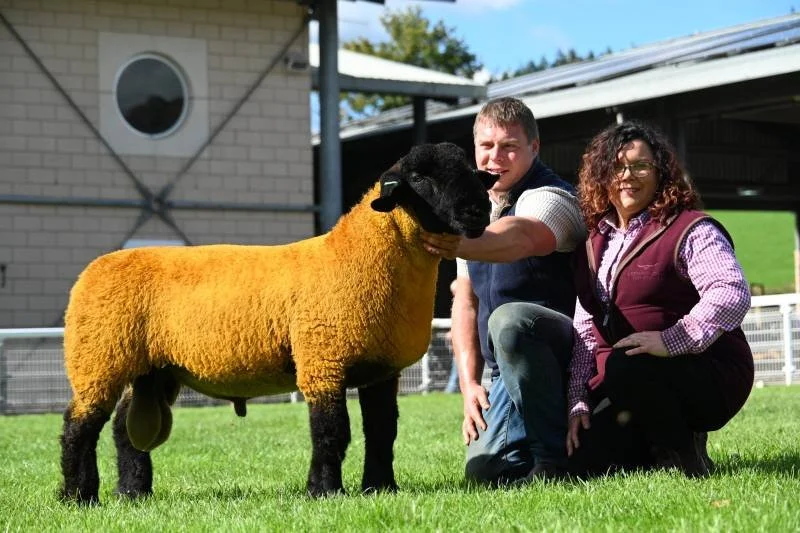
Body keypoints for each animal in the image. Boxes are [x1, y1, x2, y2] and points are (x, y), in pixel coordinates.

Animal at [59, 142, 496, 505]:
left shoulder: (381, 370)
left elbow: (382, 431)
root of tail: (94, 269)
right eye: (420, 178)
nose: (479, 211)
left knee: (124, 432)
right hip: (98, 358)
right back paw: (77, 497)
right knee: (78, 427)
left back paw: (132, 493)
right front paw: (325, 491)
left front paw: (381, 488)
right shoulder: (322, 361)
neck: (359, 256)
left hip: (151, 369)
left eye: (472, 171)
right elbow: (331, 431)